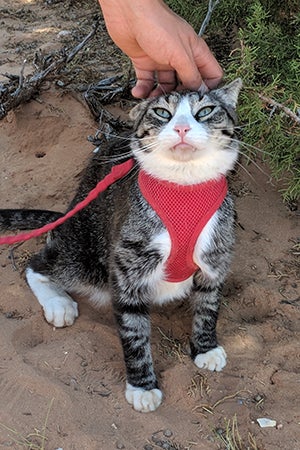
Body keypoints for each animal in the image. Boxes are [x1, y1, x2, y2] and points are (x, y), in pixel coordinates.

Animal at [0, 79, 243, 414]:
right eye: (162, 112)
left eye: (205, 110)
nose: (181, 127)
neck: (184, 187)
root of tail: (68, 218)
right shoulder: (129, 267)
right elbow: (133, 330)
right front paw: (143, 386)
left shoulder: (216, 254)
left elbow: (208, 305)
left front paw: (206, 348)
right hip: (84, 255)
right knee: (38, 265)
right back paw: (58, 303)